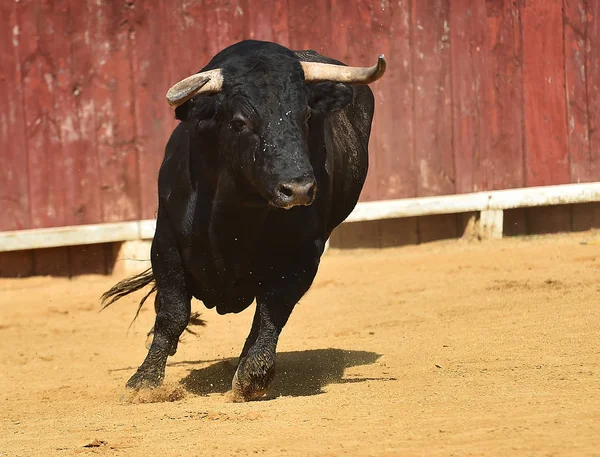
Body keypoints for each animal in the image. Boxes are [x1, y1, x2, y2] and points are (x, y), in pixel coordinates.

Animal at [102, 41, 384, 400]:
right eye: (239, 121)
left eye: (307, 116)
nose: (298, 189)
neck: (236, 210)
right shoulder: (166, 240)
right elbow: (172, 312)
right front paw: (144, 381)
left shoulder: (305, 252)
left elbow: (272, 310)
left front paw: (252, 376)